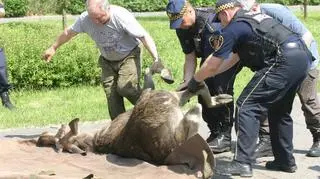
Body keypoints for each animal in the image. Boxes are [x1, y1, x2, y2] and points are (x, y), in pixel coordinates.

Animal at [33, 62, 232, 178]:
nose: (40, 138)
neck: (92, 140)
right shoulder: (153, 95)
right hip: (165, 104)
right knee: (194, 110)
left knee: (195, 91)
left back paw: (220, 97)